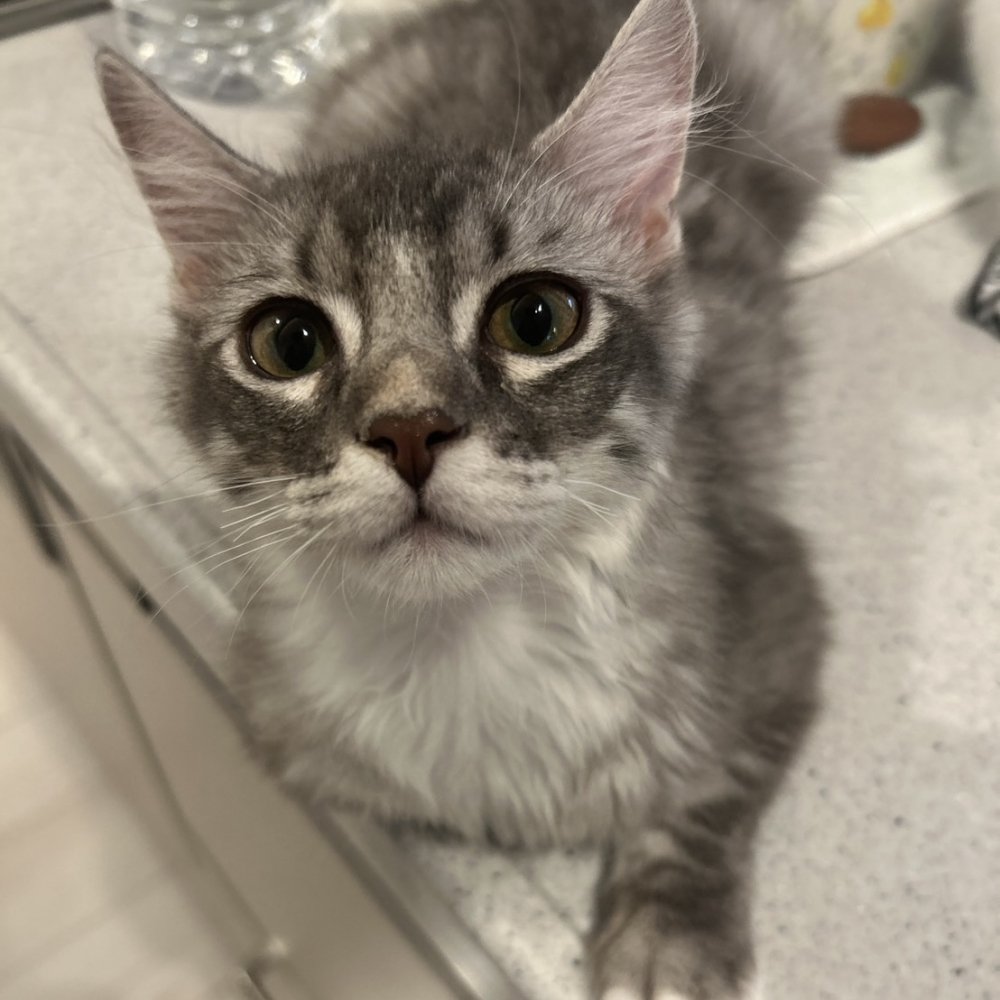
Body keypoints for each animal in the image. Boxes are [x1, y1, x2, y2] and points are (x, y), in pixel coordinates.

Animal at [97, 0, 830, 997]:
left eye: (537, 320)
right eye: (288, 343)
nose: (409, 431)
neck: (460, 648)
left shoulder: (777, 604)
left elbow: (705, 795)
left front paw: (666, 941)